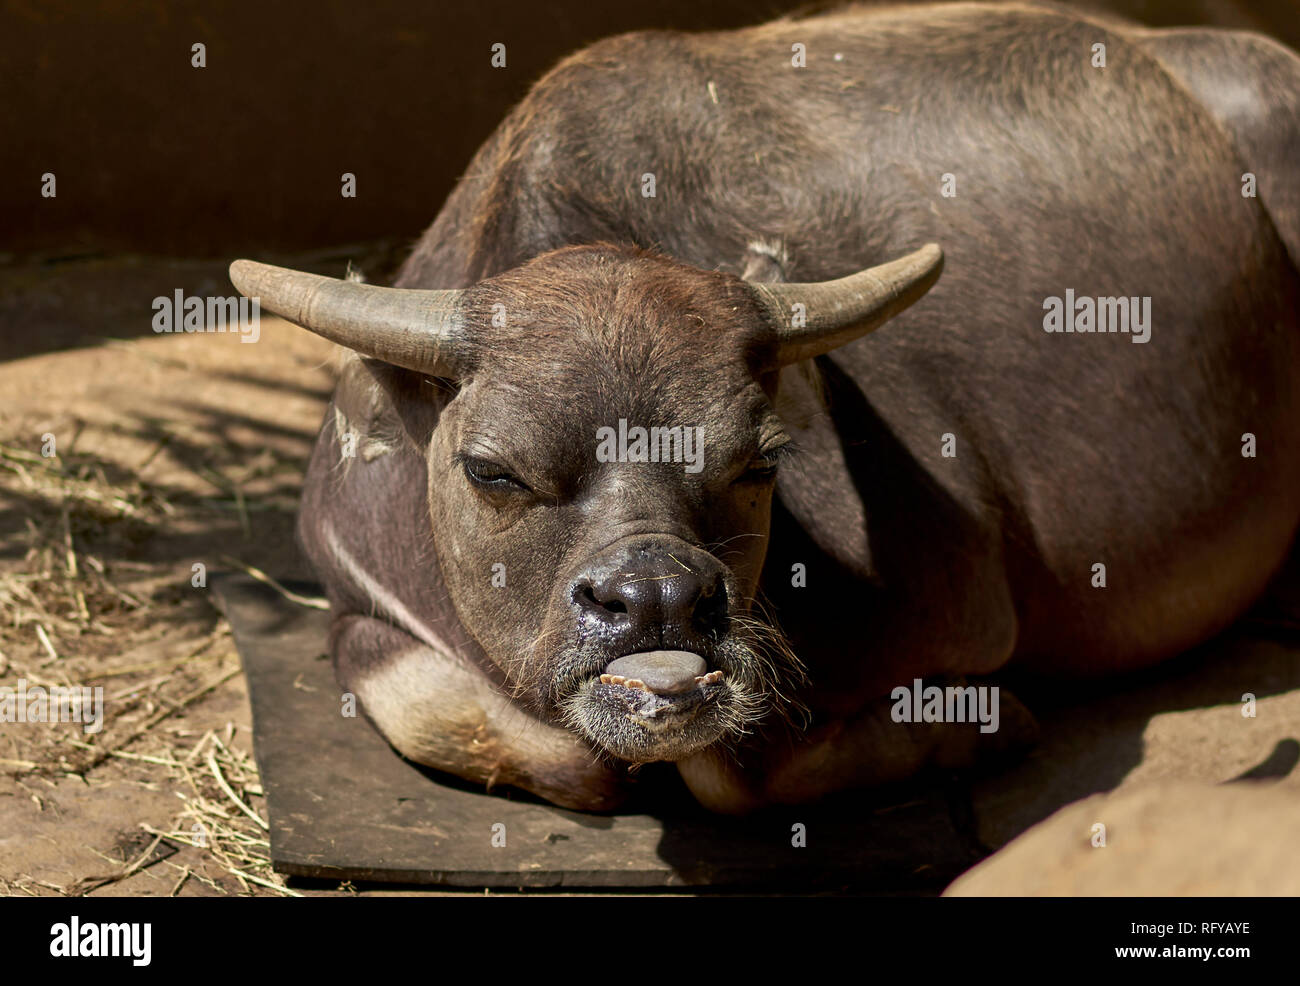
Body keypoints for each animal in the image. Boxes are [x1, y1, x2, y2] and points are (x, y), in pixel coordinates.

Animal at [228, 3, 1300, 816]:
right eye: (493, 470)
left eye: (760, 462)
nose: (658, 599)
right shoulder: (354, 595)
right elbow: (481, 723)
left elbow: (739, 768)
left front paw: (985, 728)